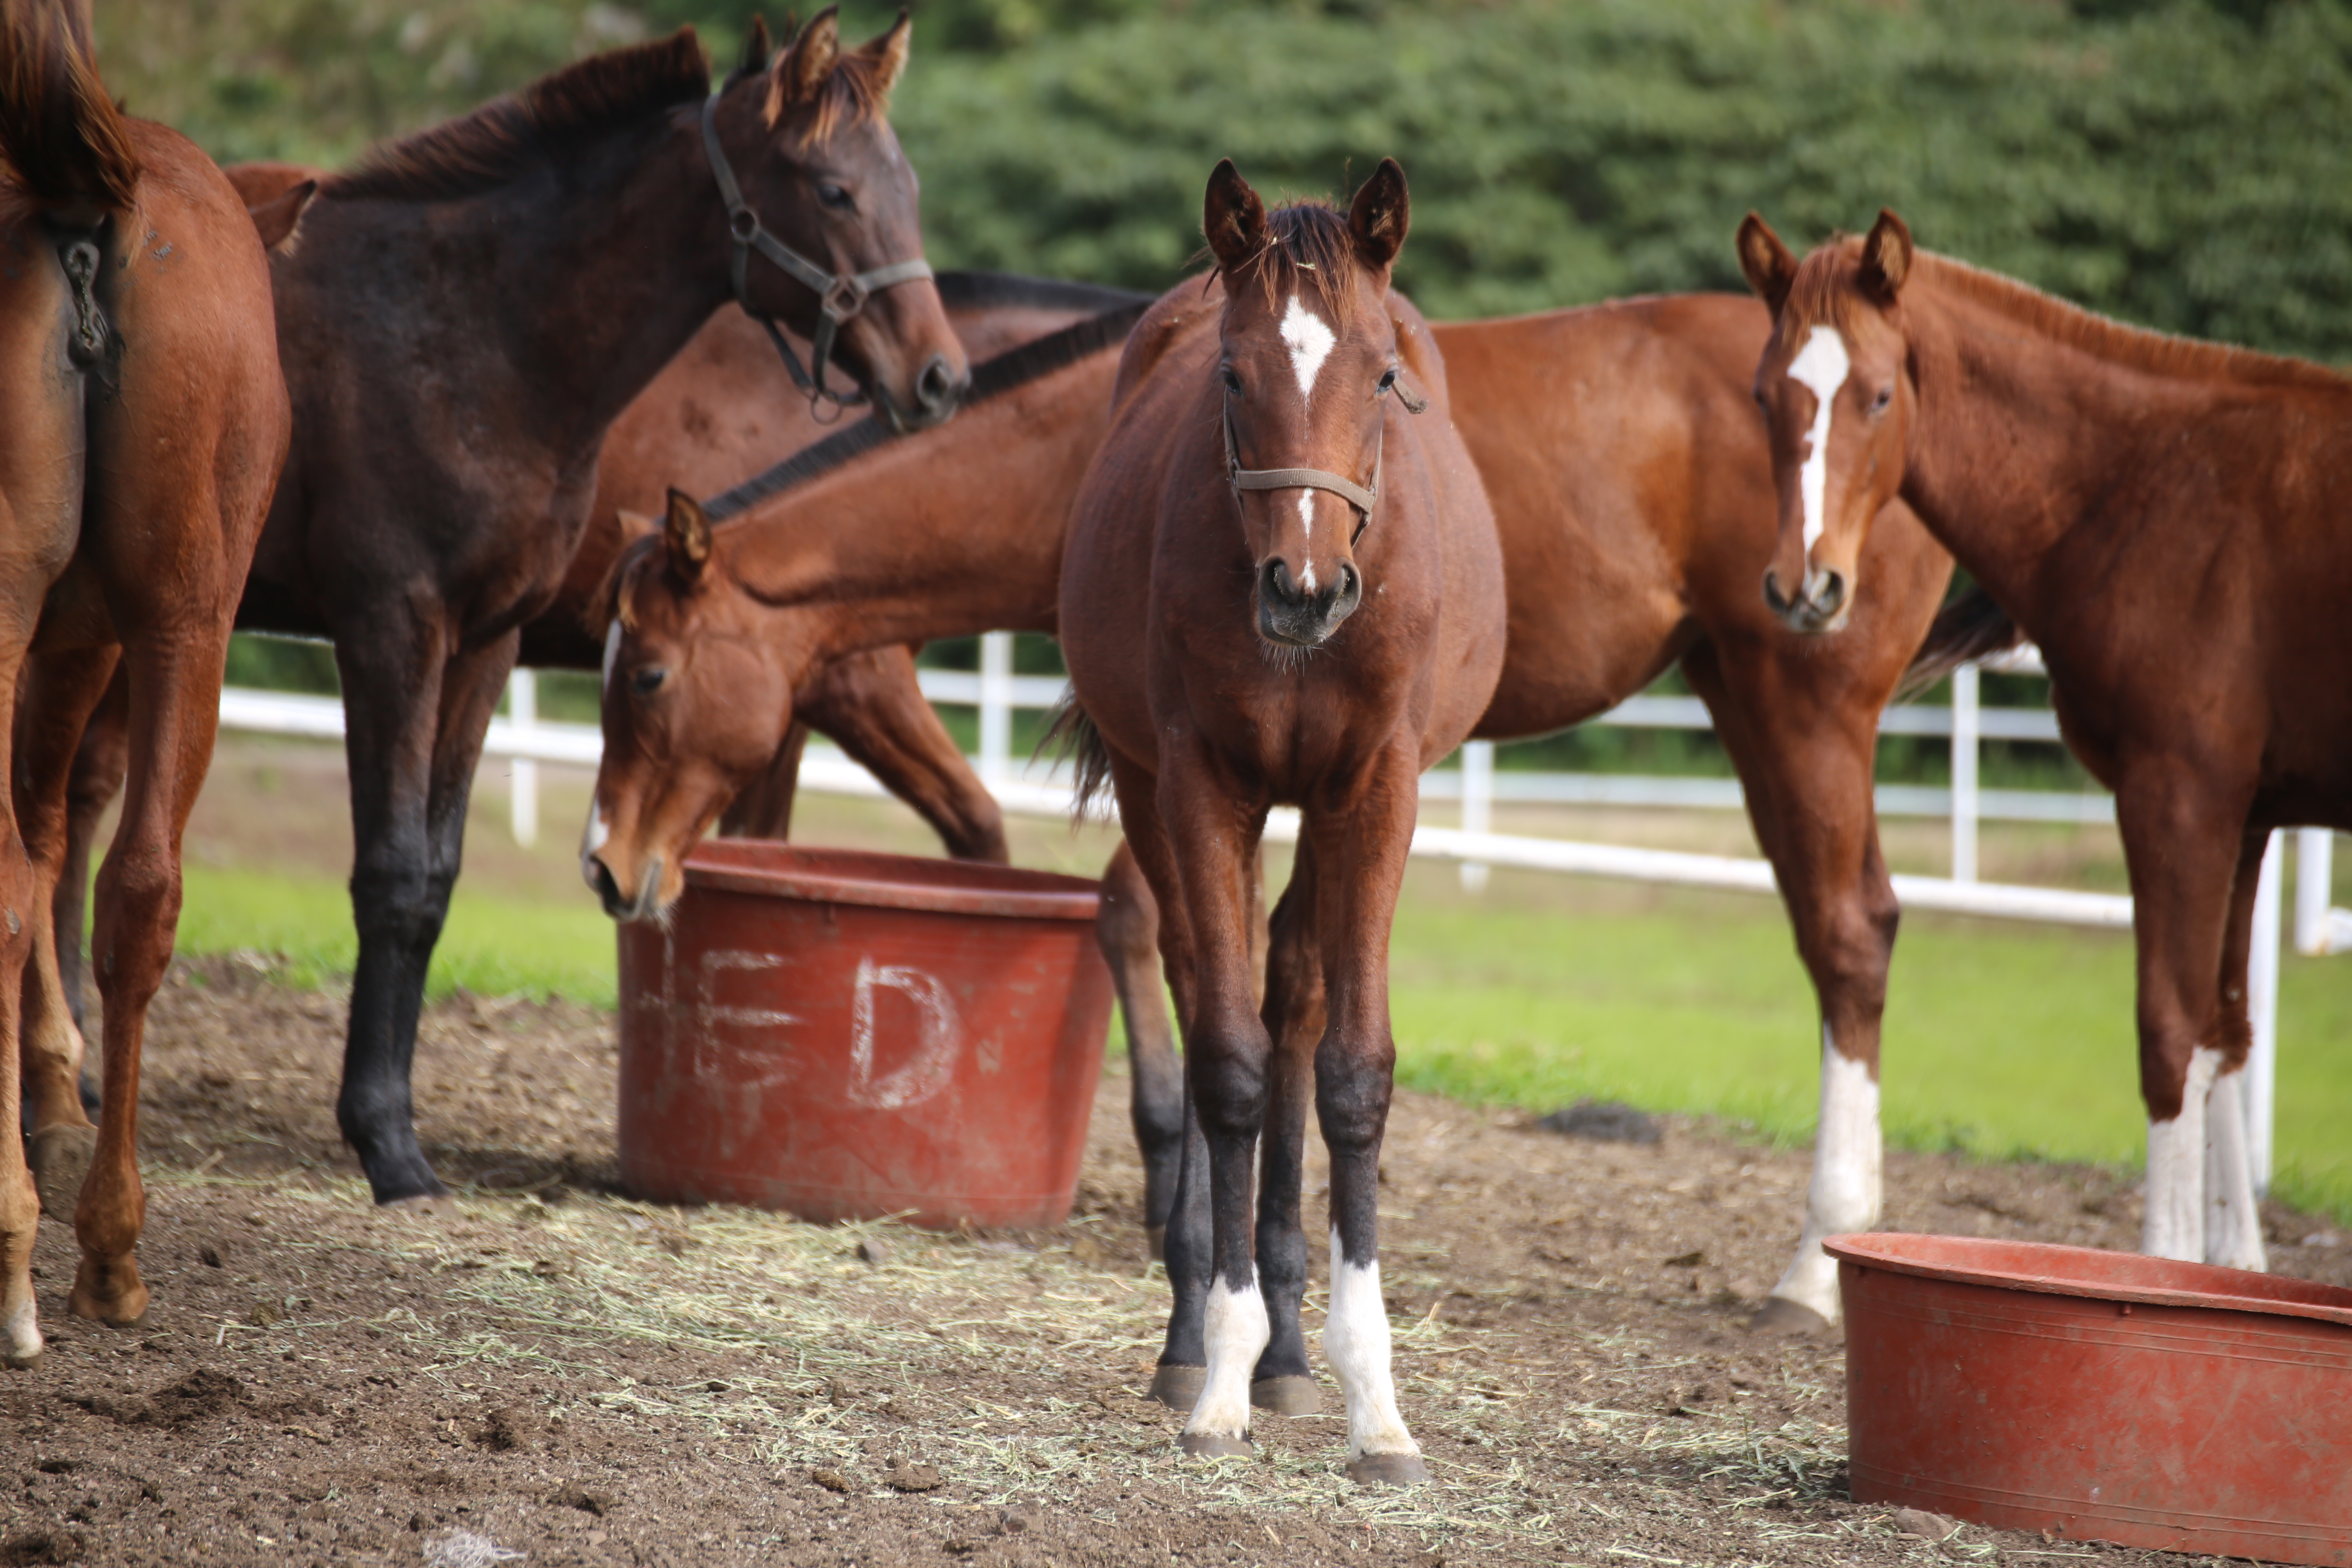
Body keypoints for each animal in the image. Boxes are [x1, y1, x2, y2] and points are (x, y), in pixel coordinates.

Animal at [25, 15, 973, 1213]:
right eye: (835, 190)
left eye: (907, 189)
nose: (940, 377)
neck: (478, 336)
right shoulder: (392, 631)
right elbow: (389, 873)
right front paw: (384, 1143)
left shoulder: (485, 645)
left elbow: (435, 879)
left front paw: (394, 1125)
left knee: (77, 802)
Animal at [1054, 160, 1496, 1486]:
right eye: (1234, 374)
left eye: (1380, 373)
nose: (1304, 591)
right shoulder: (1202, 785)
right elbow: (1229, 1063)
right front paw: (1218, 1374)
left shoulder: (1377, 790)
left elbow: (1350, 1069)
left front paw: (1374, 1400)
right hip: (1159, 790)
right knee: (1206, 982)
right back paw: (1202, 1333)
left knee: (1292, 986)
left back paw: (1297, 1354)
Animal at [1731, 212, 2352, 1278]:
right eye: (1768, 394)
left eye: (1879, 394)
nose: (1803, 587)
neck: (2156, 485)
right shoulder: (2247, 813)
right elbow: (2225, 1029)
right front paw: (2231, 1270)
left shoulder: (2176, 797)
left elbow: (2168, 1033)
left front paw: (2160, 1273)